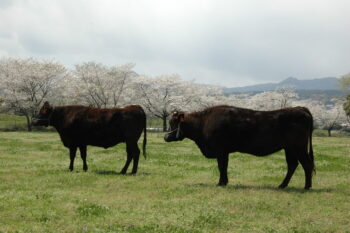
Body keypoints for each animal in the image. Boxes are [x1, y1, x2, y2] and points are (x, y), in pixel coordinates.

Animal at [164, 105, 314, 189]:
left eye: (173, 123)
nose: (165, 137)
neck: (203, 123)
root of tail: (300, 108)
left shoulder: (220, 150)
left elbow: (221, 166)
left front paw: (221, 183)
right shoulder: (224, 152)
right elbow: (224, 166)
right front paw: (224, 182)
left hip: (299, 147)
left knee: (306, 165)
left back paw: (307, 187)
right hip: (289, 148)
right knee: (293, 165)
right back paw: (282, 185)